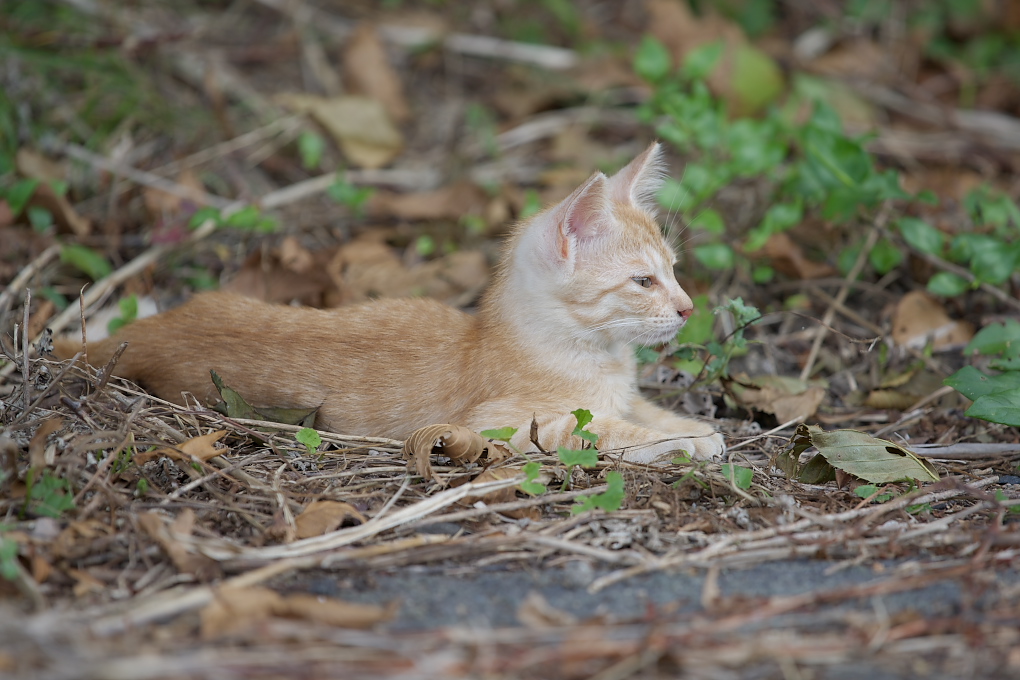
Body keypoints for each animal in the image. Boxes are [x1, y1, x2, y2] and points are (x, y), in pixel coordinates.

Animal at [55, 142, 726, 462]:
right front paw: (679, 443)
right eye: (643, 282)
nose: (688, 308)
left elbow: (648, 411)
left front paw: (696, 429)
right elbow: (603, 429)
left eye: (673, 271)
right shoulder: (505, 424)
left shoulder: (623, 393)